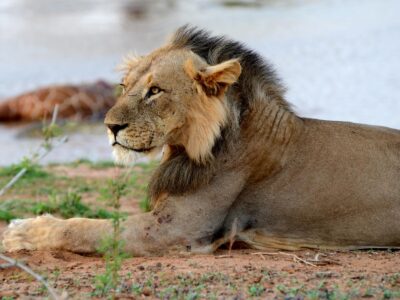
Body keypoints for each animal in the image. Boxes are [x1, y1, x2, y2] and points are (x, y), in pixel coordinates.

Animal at [3, 26, 400, 255]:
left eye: (155, 91)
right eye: (123, 86)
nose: (109, 126)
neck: (191, 146)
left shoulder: (172, 231)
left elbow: (83, 228)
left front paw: (21, 232)